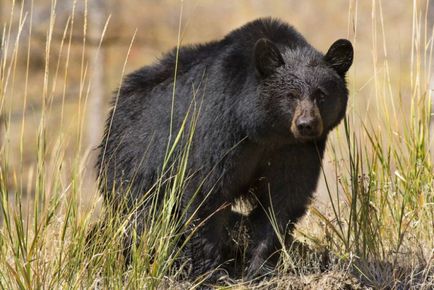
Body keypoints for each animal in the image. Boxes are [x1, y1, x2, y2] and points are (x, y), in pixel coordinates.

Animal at [97, 17, 352, 280]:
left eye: (321, 94)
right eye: (290, 95)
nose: (306, 124)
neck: (263, 129)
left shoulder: (296, 149)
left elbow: (283, 198)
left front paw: (260, 268)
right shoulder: (219, 129)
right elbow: (206, 191)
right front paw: (209, 271)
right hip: (135, 160)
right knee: (143, 216)